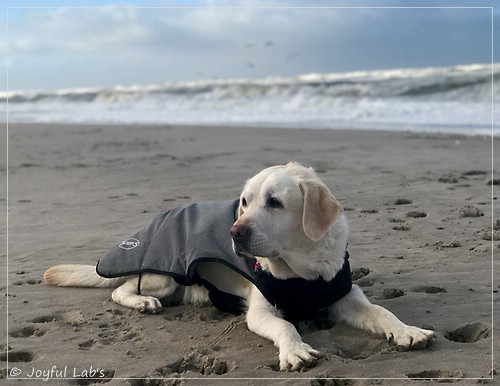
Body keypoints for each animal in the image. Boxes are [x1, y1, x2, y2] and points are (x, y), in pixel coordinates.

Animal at [45, 161, 432, 370]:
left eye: (274, 202)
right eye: (244, 202)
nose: (234, 231)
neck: (302, 267)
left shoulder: (345, 296)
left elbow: (383, 312)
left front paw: (408, 330)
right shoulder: (260, 311)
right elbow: (285, 326)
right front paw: (295, 351)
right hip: (163, 276)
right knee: (121, 289)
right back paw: (142, 302)